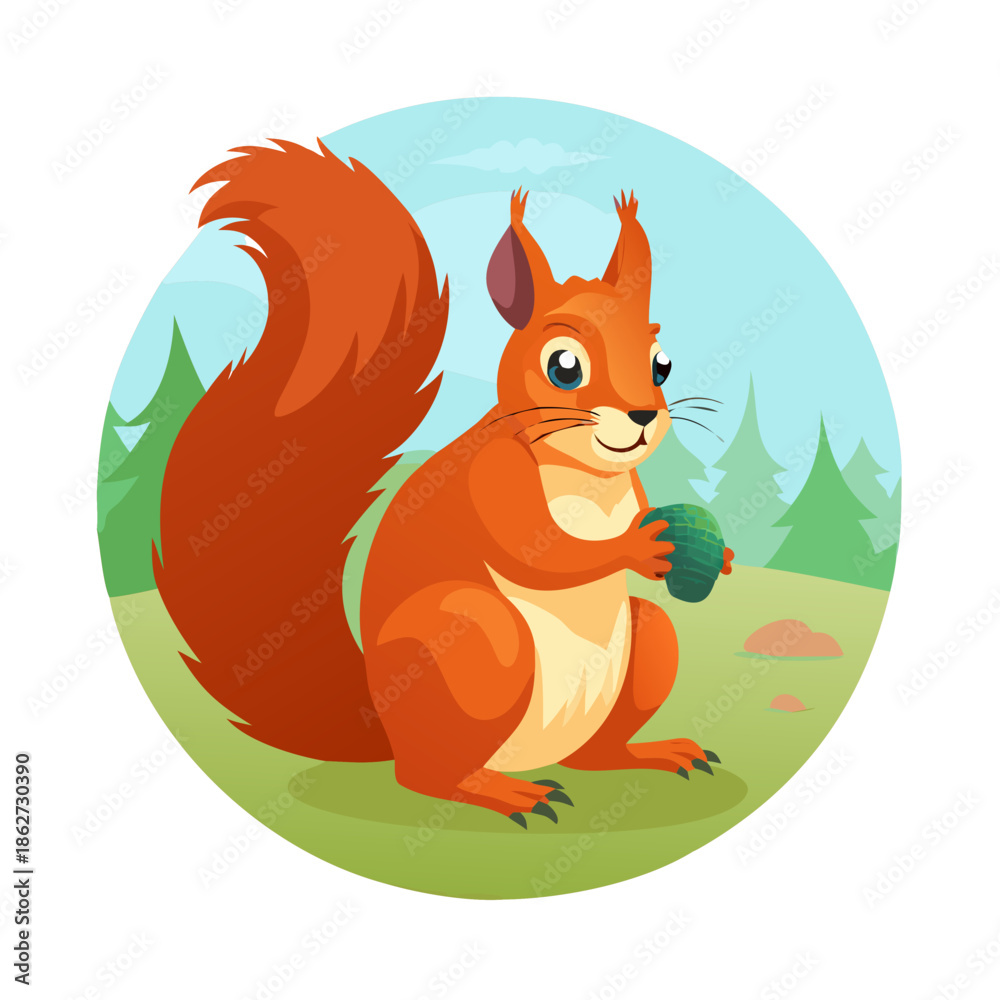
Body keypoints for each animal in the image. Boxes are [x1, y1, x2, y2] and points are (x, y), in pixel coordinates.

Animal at [155, 138, 733, 825]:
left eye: (661, 364)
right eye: (564, 366)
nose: (643, 416)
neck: (584, 473)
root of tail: (384, 726)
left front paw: (720, 555)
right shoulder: (493, 477)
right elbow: (540, 553)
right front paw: (637, 547)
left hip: (640, 649)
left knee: (598, 744)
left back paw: (647, 754)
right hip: (475, 641)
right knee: (426, 776)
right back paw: (500, 791)